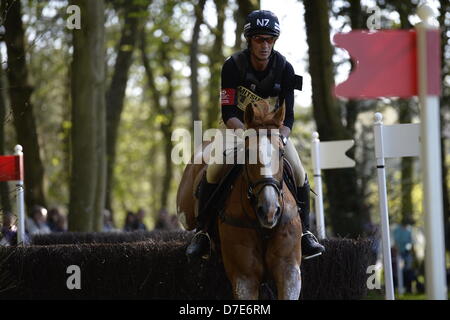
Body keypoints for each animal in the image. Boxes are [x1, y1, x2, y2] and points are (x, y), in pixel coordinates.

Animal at [176, 100, 302, 300]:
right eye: (248, 153)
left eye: (282, 153)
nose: (270, 210)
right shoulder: (245, 277)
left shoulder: (289, 270)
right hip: (185, 213)